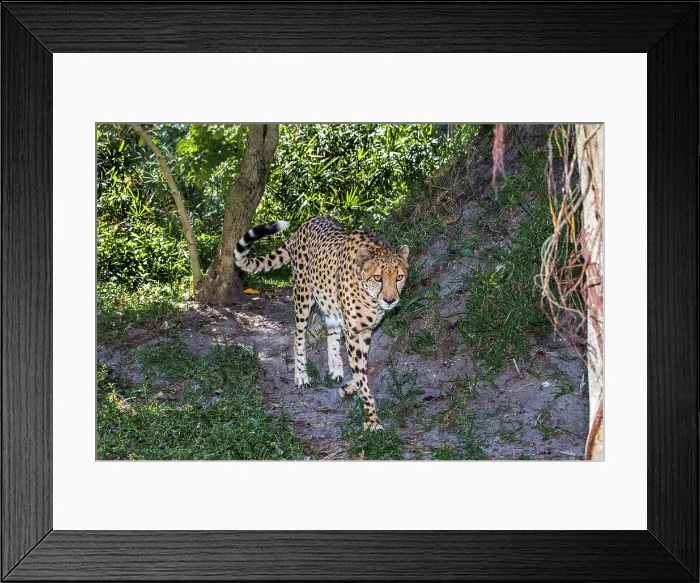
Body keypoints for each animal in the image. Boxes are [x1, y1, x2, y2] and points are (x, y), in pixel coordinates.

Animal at [234, 216, 409, 432]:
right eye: (378, 277)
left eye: (399, 277)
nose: (390, 300)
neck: (370, 296)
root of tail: (307, 222)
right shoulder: (353, 331)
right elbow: (361, 375)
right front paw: (372, 421)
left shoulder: (366, 331)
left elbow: (361, 368)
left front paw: (349, 387)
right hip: (302, 297)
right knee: (298, 336)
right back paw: (301, 376)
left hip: (328, 302)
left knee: (331, 331)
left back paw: (336, 369)